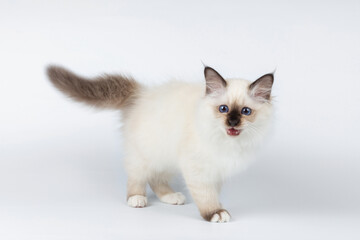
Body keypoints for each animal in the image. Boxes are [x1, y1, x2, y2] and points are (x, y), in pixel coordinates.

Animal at [46, 64, 274, 222]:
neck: (227, 142)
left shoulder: (216, 169)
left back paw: (171, 197)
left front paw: (218, 206)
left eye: (245, 111)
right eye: (223, 109)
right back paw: (136, 200)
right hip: (144, 154)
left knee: (156, 179)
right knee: (137, 178)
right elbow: (205, 196)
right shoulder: (198, 169)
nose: (233, 122)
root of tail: (141, 94)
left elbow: (213, 192)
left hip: (165, 157)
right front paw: (215, 212)